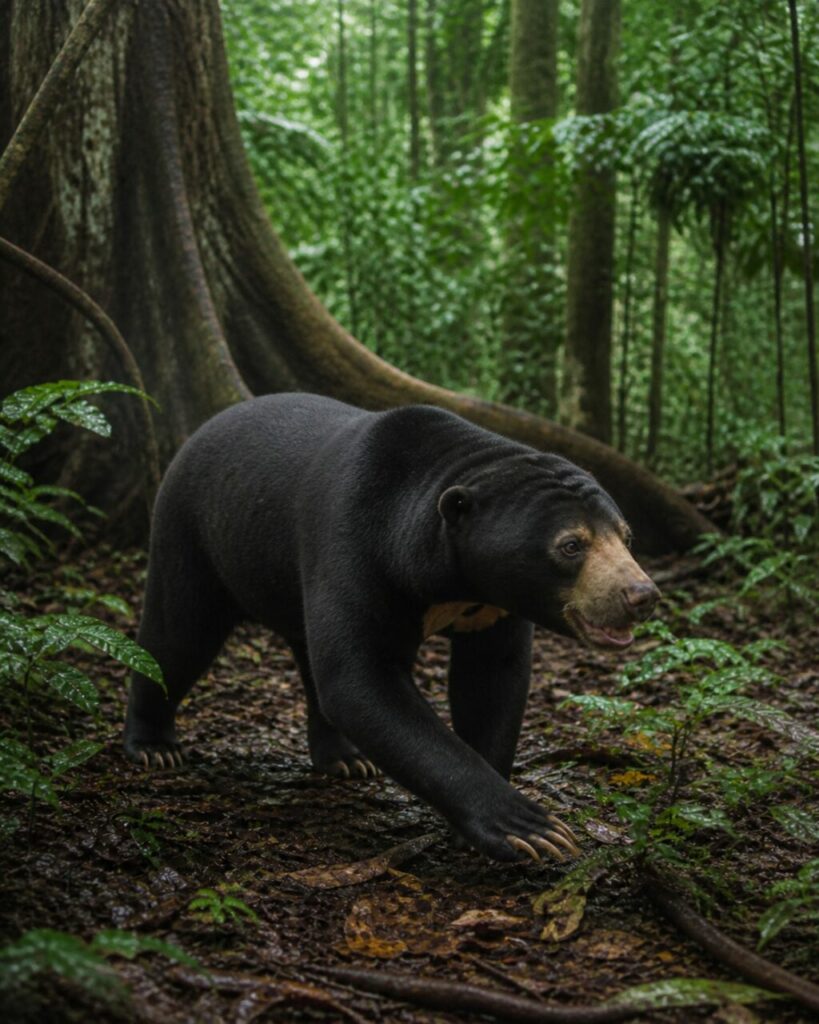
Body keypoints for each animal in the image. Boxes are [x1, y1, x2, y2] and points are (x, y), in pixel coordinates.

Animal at [124, 393, 659, 863]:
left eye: (627, 537)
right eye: (571, 545)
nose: (641, 595)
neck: (451, 579)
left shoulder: (493, 608)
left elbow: (492, 682)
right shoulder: (355, 549)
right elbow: (361, 682)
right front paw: (531, 829)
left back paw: (345, 758)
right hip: (193, 531)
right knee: (178, 635)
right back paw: (154, 748)